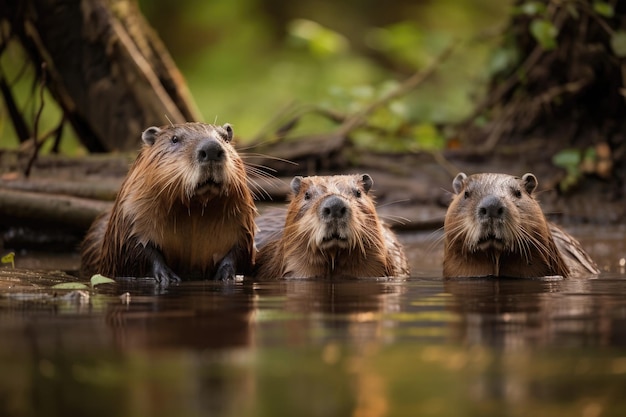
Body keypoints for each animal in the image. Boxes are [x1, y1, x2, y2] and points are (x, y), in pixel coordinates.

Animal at [80, 120, 256, 282]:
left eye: (225, 138)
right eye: (175, 139)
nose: (212, 149)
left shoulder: (242, 223)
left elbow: (240, 249)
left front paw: (226, 275)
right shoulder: (131, 214)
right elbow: (137, 249)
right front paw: (167, 276)